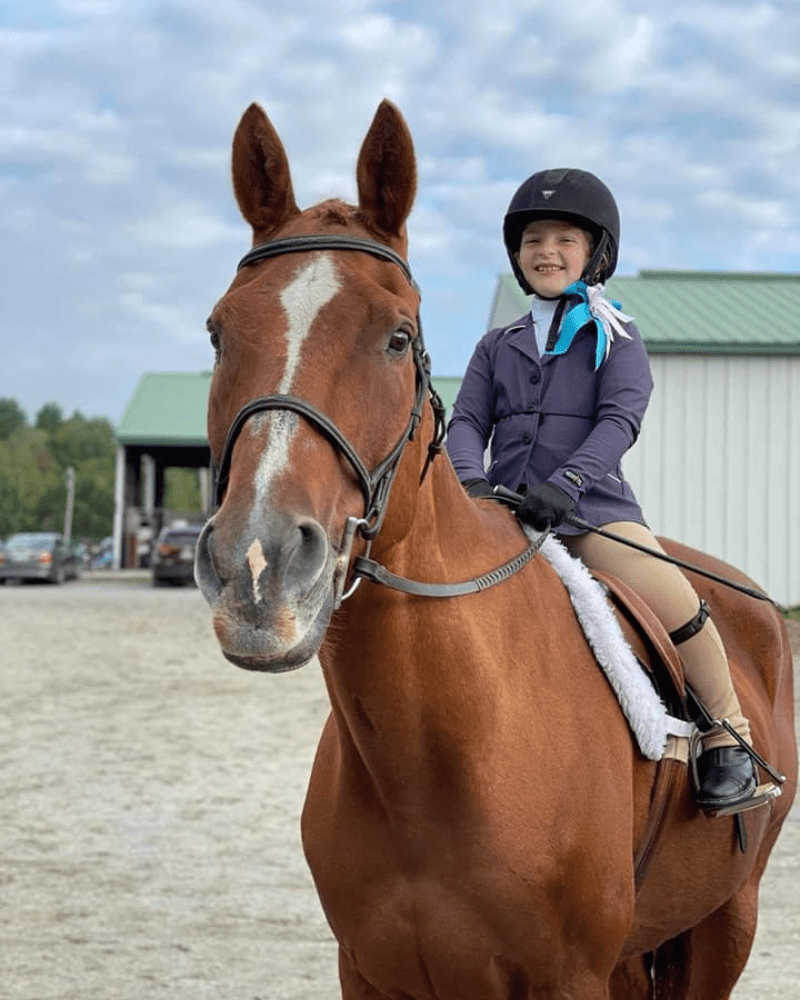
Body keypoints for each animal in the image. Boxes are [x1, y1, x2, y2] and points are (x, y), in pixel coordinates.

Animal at [195, 95, 800, 1000]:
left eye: (398, 337)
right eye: (217, 333)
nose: (259, 571)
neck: (430, 761)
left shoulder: (571, 977)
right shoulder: (366, 973)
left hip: (728, 921)